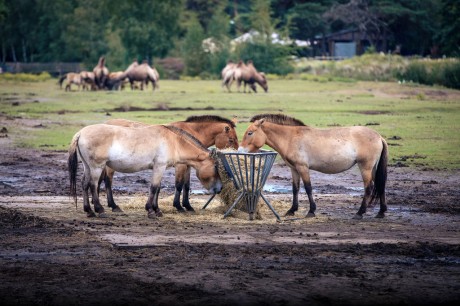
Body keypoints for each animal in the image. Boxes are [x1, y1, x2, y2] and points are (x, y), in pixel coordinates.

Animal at [68, 123, 225, 218]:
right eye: (215, 167)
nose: (220, 188)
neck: (174, 142)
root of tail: (80, 133)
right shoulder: (159, 166)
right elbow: (154, 187)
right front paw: (150, 210)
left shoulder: (160, 168)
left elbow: (157, 188)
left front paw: (157, 209)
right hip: (97, 167)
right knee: (93, 185)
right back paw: (99, 210)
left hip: (88, 167)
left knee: (84, 184)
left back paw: (89, 211)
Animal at [99, 115, 237, 213]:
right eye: (231, 140)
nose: (237, 151)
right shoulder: (180, 166)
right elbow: (179, 185)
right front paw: (178, 206)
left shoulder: (187, 166)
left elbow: (186, 186)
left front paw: (187, 206)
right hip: (109, 167)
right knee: (108, 182)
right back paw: (113, 206)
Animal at [239, 113, 386, 219]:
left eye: (250, 133)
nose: (240, 151)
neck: (291, 138)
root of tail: (379, 137)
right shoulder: (294, 169)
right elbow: (295, 189)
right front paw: (292, 210)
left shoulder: (303, 167)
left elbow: (308, 188)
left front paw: (311, 211)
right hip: (372, 169)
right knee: (380, 186)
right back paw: (381, 212)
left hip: (365, 167)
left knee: (369, 188)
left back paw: (359, 213)